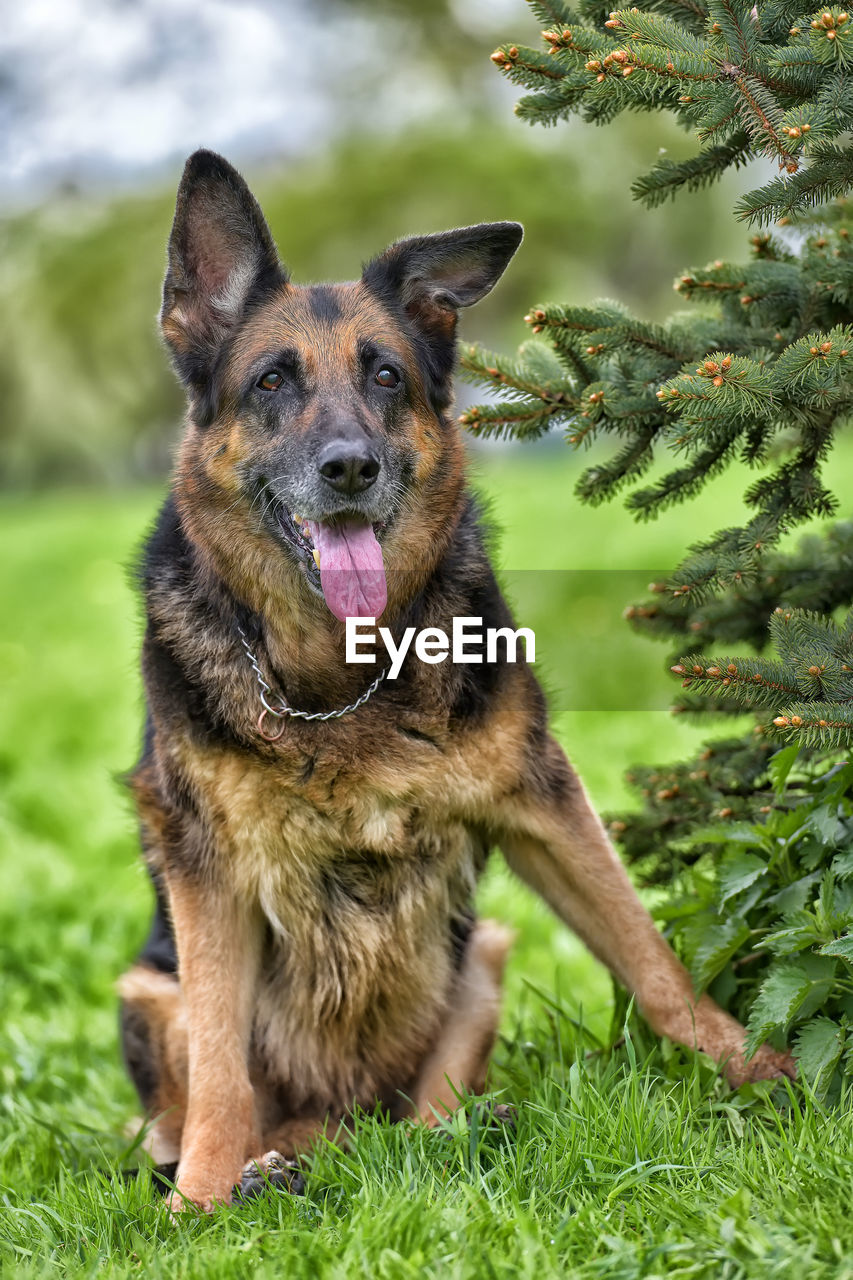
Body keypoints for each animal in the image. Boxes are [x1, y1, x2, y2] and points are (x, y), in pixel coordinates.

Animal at [117, 149, 788, 1208]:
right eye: (272, 380)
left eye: (386, 375)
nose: (351, 468)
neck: (340, 677)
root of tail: (339, 1127)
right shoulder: (205, 872)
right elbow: (223, 1064)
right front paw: (201, 1202)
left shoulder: (541, 803)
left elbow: (653, 964)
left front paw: (761, 1076)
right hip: (147, 989)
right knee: (206, 1104)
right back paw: (255, 1171)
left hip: (482, 958)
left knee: (421, 1122)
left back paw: (456, 1134)